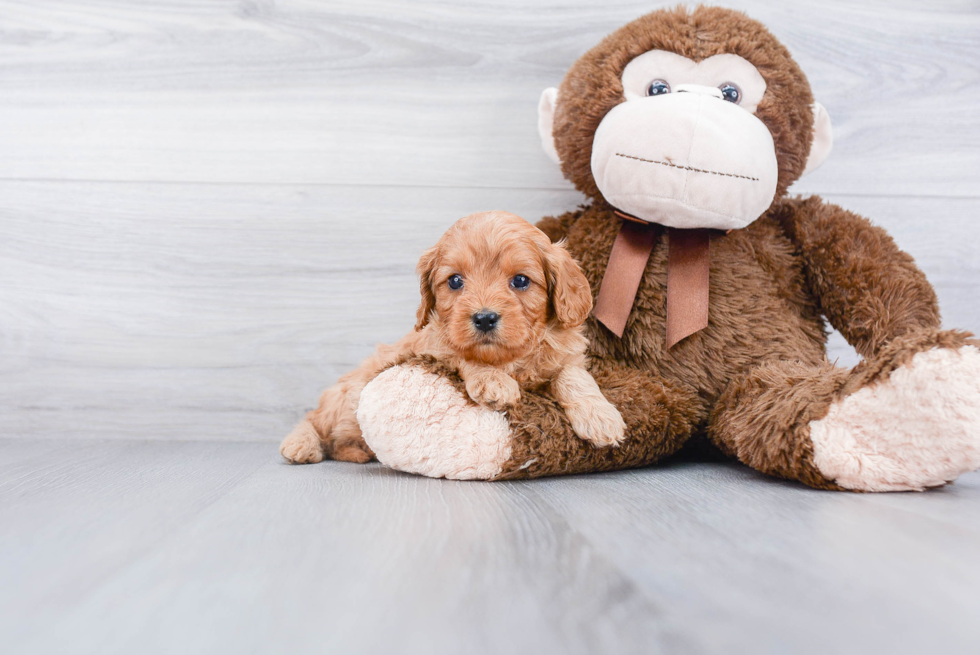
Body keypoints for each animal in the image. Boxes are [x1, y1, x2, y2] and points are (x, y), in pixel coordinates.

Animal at [280, 211, 624, 466]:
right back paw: (300, 444)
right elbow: (463, 354)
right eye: (455, 281)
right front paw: (492, 381)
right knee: (315, 420)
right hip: (351, 396)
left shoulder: (567, 356)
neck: (509, 358)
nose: (484, 318)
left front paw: (601, 417)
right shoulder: (434, 345)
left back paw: (358, 451)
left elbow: (574, 376)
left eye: (521, 281)